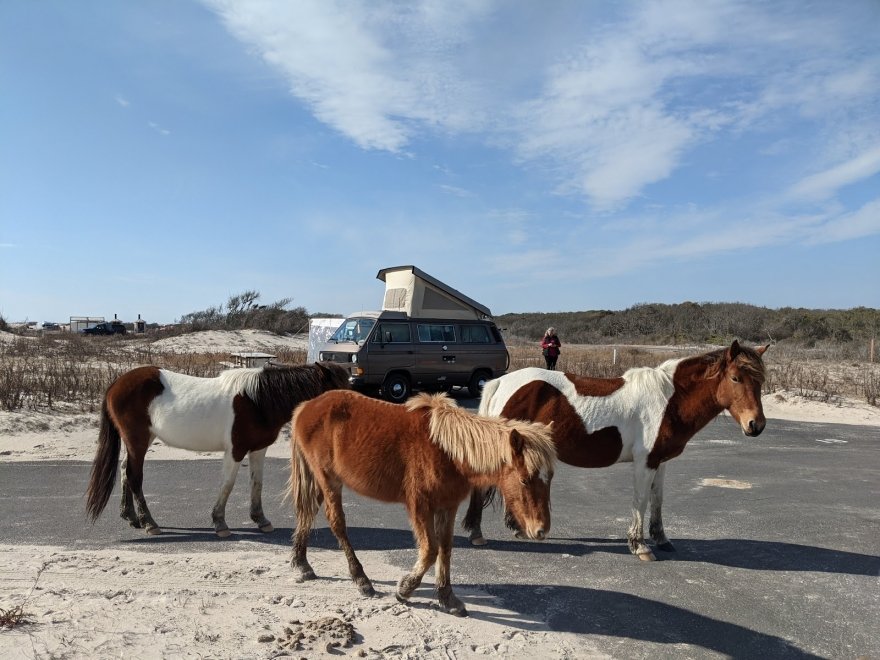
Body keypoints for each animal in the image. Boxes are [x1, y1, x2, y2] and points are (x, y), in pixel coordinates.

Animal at [86, 360, 350, 536]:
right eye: (335, 389)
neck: (258, 401)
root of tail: (116, 384)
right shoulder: (235, 450)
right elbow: (228, 484)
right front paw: (219, 522)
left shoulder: (258, 449)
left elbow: (257, 483)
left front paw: (261, 520)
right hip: (137, 439)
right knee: (134, 476)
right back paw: (149, 522)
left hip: (143, 439)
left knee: (124, 469)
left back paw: (130, 516)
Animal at [288, 390, 552, 616]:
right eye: (525, 479)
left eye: (549, 478)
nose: (540, 530)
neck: (447, 452)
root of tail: (306, 406)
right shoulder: (420, 506)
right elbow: (430, 550)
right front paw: (405, 589)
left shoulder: (447, 506)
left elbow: (445, 549)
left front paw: (447, 598)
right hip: (329, 480)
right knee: (337, 524)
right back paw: (361, 580)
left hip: (319, 481)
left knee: (307, 513)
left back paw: (303, 564)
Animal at [464, 340, 768, 564]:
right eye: (736, 378)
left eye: (760, 382)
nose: (756, 425)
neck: (669, 400)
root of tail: (500, 383)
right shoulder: (645, 462)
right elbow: (641, 501)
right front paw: (640, 546)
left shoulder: (661, 462)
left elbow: (658, 500)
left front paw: (662, 539)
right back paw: (478, 534)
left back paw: (515, 528)